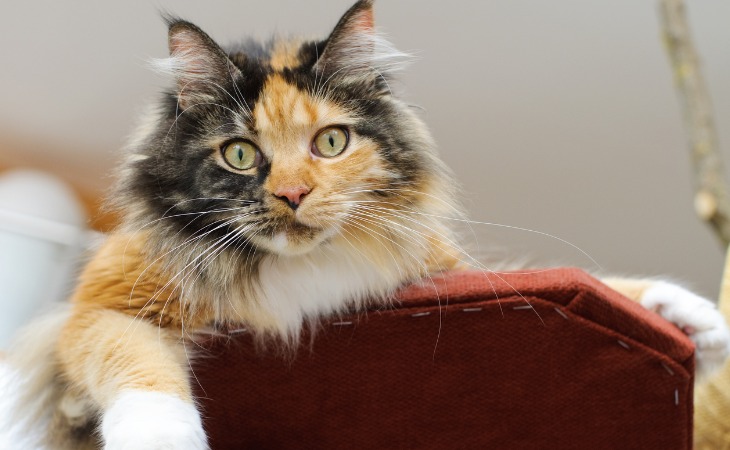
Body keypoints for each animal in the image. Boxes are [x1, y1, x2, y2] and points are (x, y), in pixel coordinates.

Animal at [1, 0, 728, 450]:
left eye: (331, 143)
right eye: (240, 155)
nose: (293, 194)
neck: (302, 269)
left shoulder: (441, 271)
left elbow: (589, 280)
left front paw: (690, 316)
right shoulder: (100, 307)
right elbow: (140, 365)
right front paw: (163, 440)